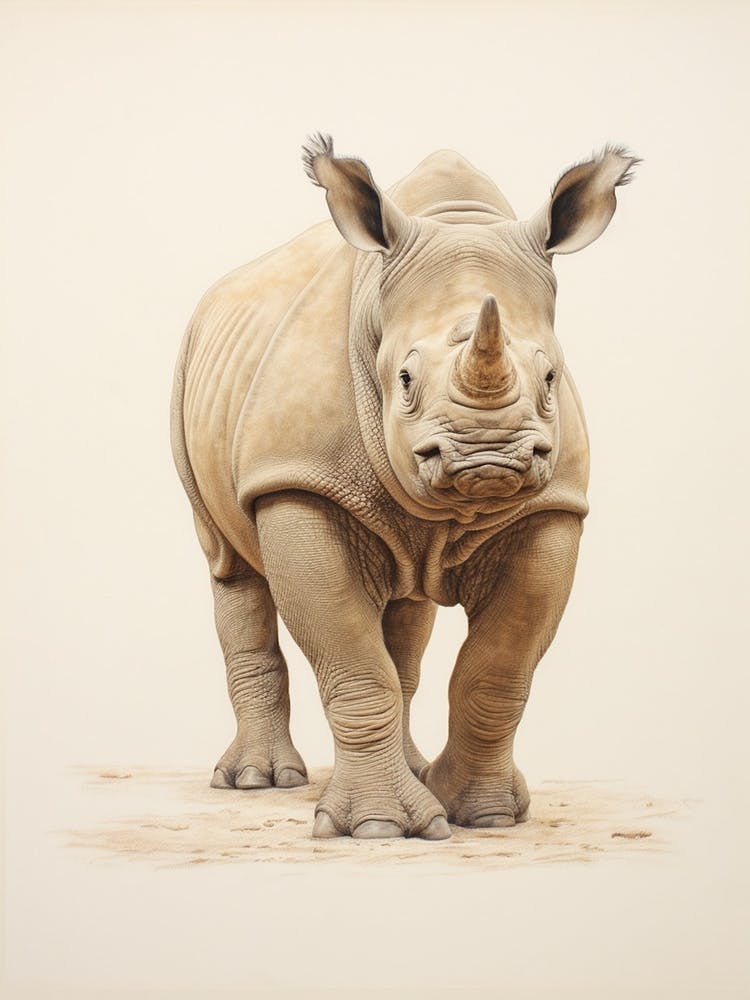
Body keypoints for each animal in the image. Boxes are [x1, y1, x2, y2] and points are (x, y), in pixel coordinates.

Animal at [171, 134, 637, 840]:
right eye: (406, 380)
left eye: (552, 378)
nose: (488, 456)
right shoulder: (296, 481)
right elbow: (356, 664)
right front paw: (377, 830)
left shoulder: (553, 506)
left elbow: (498, 669)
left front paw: (487, 816)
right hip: (190, 379)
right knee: (231, 566)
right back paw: (256, 781)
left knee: (407, 612)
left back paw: (416, 771)